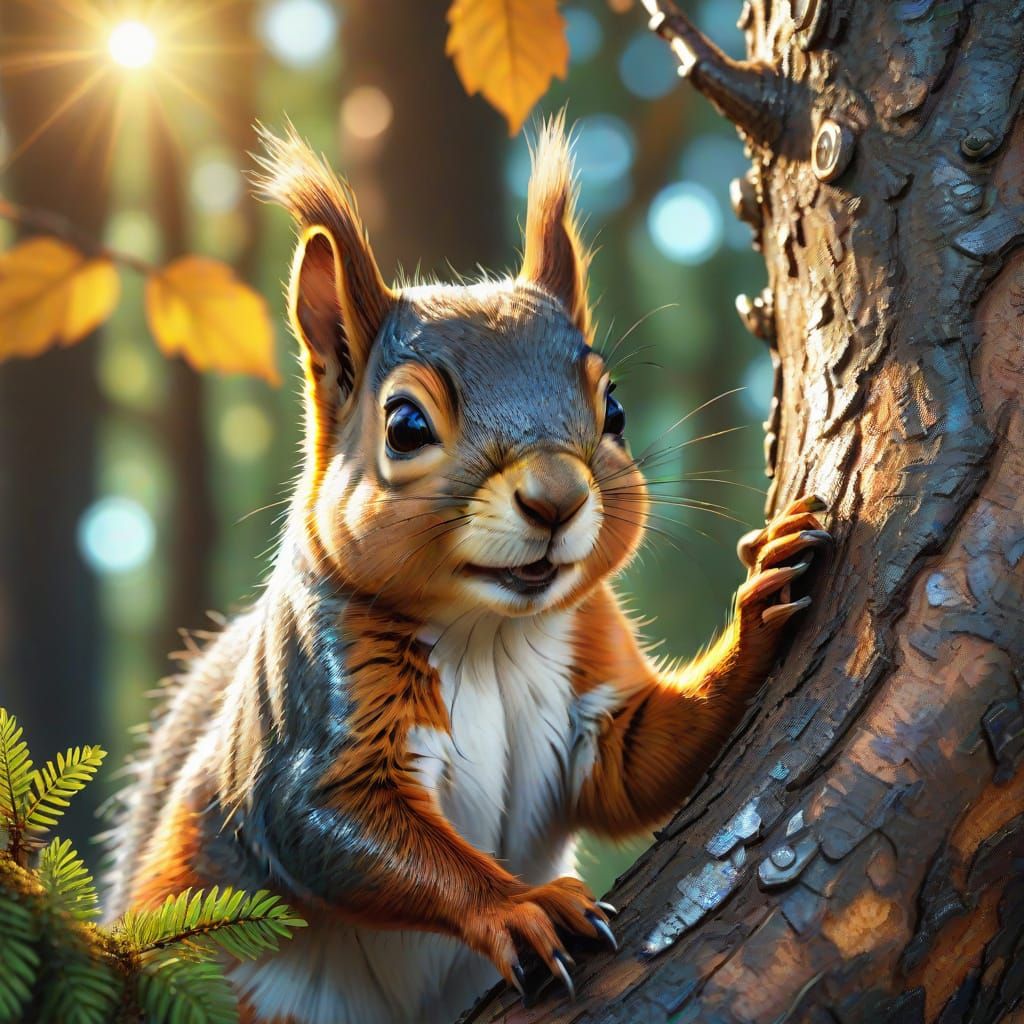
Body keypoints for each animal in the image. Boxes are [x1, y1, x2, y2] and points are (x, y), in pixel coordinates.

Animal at [104, 117, 831, 1024]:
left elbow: (640, 762)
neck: (491, 633)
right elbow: (336, 824)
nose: (556, 499)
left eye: (615, 409)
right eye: (405, 425)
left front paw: (762, 598)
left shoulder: (592, 674)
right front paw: (522, 907)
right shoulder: (318, 707)